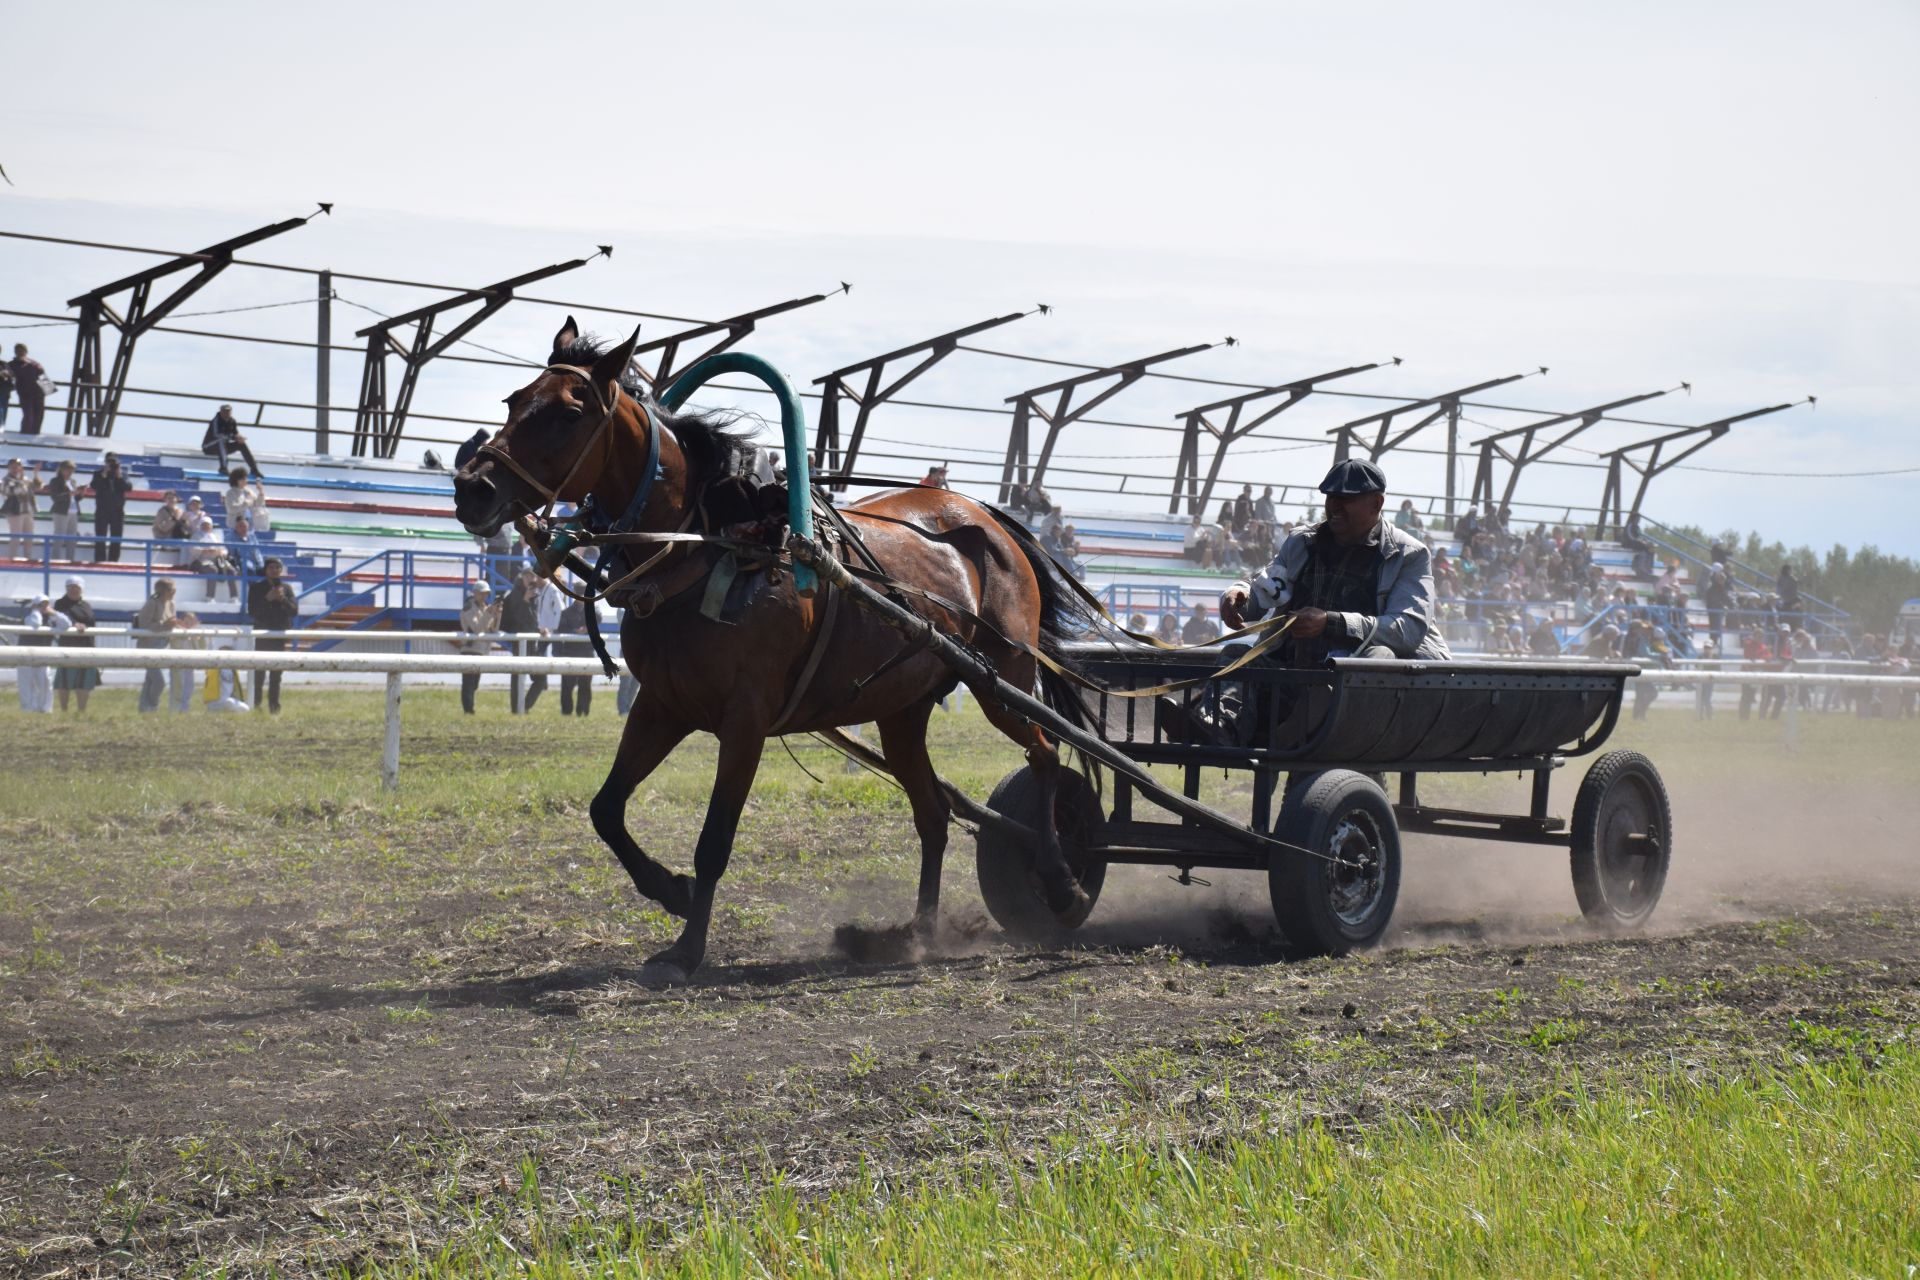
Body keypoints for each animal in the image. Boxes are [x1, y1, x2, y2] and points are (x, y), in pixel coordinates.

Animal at [451, 320, 1105, 982]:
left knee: (1045, 756)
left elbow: (714, 841)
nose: (471, 488)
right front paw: (671, 890)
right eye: (514, 400)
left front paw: (686, 950)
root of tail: (989, 522)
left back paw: (1062, 883)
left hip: (1003, 682)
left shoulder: (746, 721)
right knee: (933, 815)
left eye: (568, 412)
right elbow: (606, 809)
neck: (715, 545)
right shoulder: (661, 705)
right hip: (901, 712)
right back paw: (916, 933)